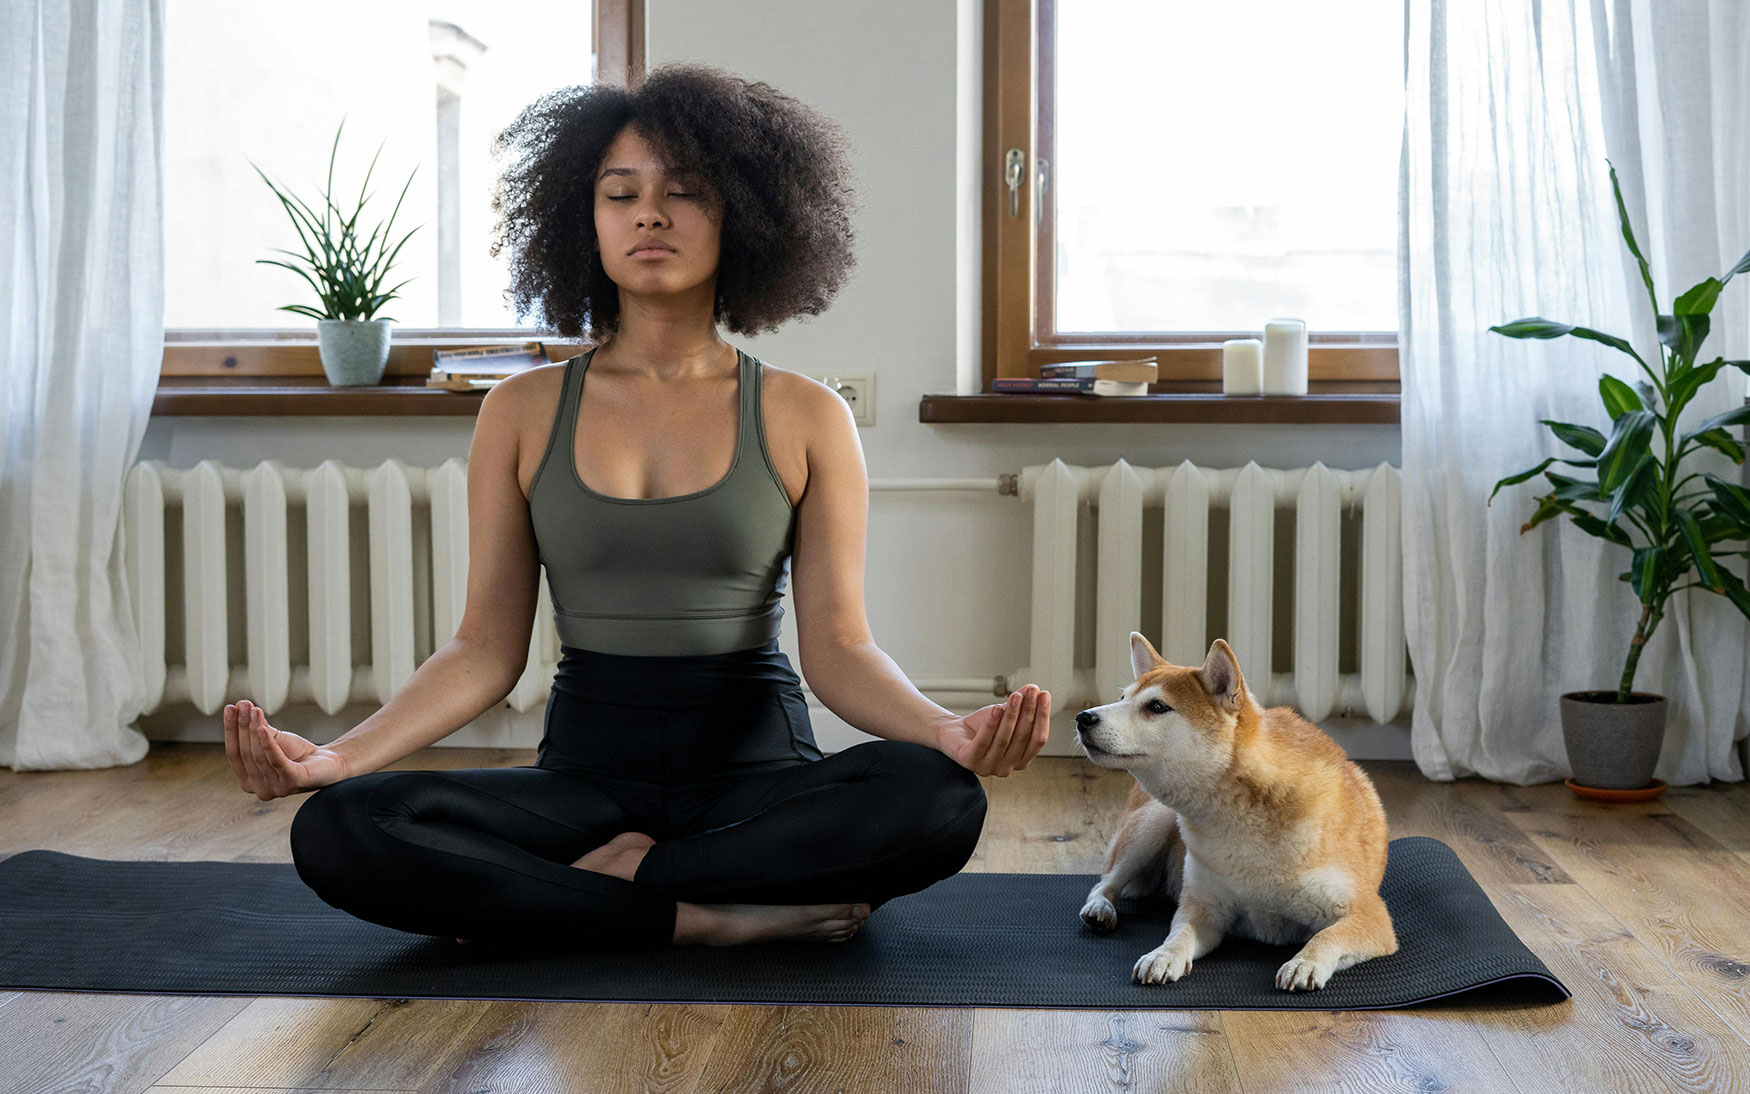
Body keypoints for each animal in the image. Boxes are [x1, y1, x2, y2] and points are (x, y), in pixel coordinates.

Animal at [1071, 630, 1400, 987]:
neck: (1240, 818)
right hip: (1153, 823)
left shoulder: (1369, 915)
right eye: (1121, 697)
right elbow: (1178, 935)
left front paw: (1305, 962)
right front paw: (1162, 956)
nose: (1083, 717)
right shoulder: (1204, 909)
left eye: (1157, 706)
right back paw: (1100, 909)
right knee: (1104, 882)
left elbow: (1326, 936)